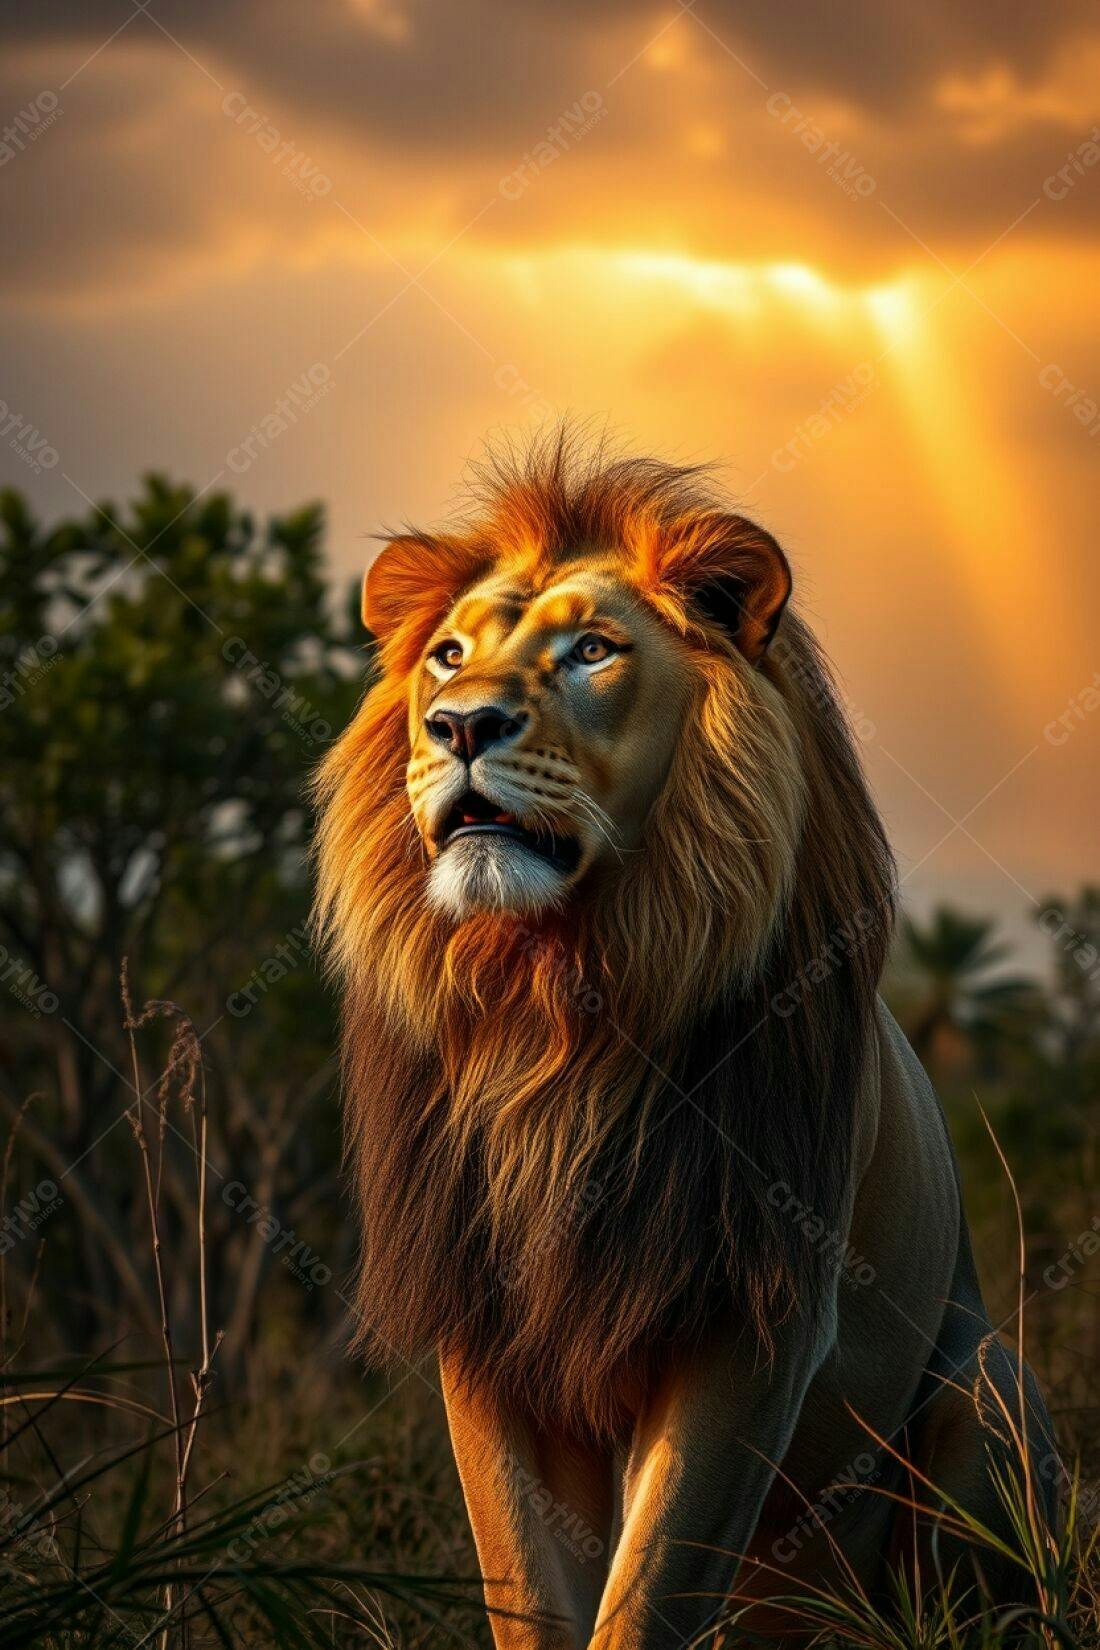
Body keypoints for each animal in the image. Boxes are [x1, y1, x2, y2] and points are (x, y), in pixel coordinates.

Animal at [314, 432, 1058, 1649]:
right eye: (447, 656)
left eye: (591, 651)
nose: (458, 726)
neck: (553, 1013)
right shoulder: (482, 1328)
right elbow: (529, 1590)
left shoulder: (751, 1322)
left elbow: (647, 1590)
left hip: (986, 1385)